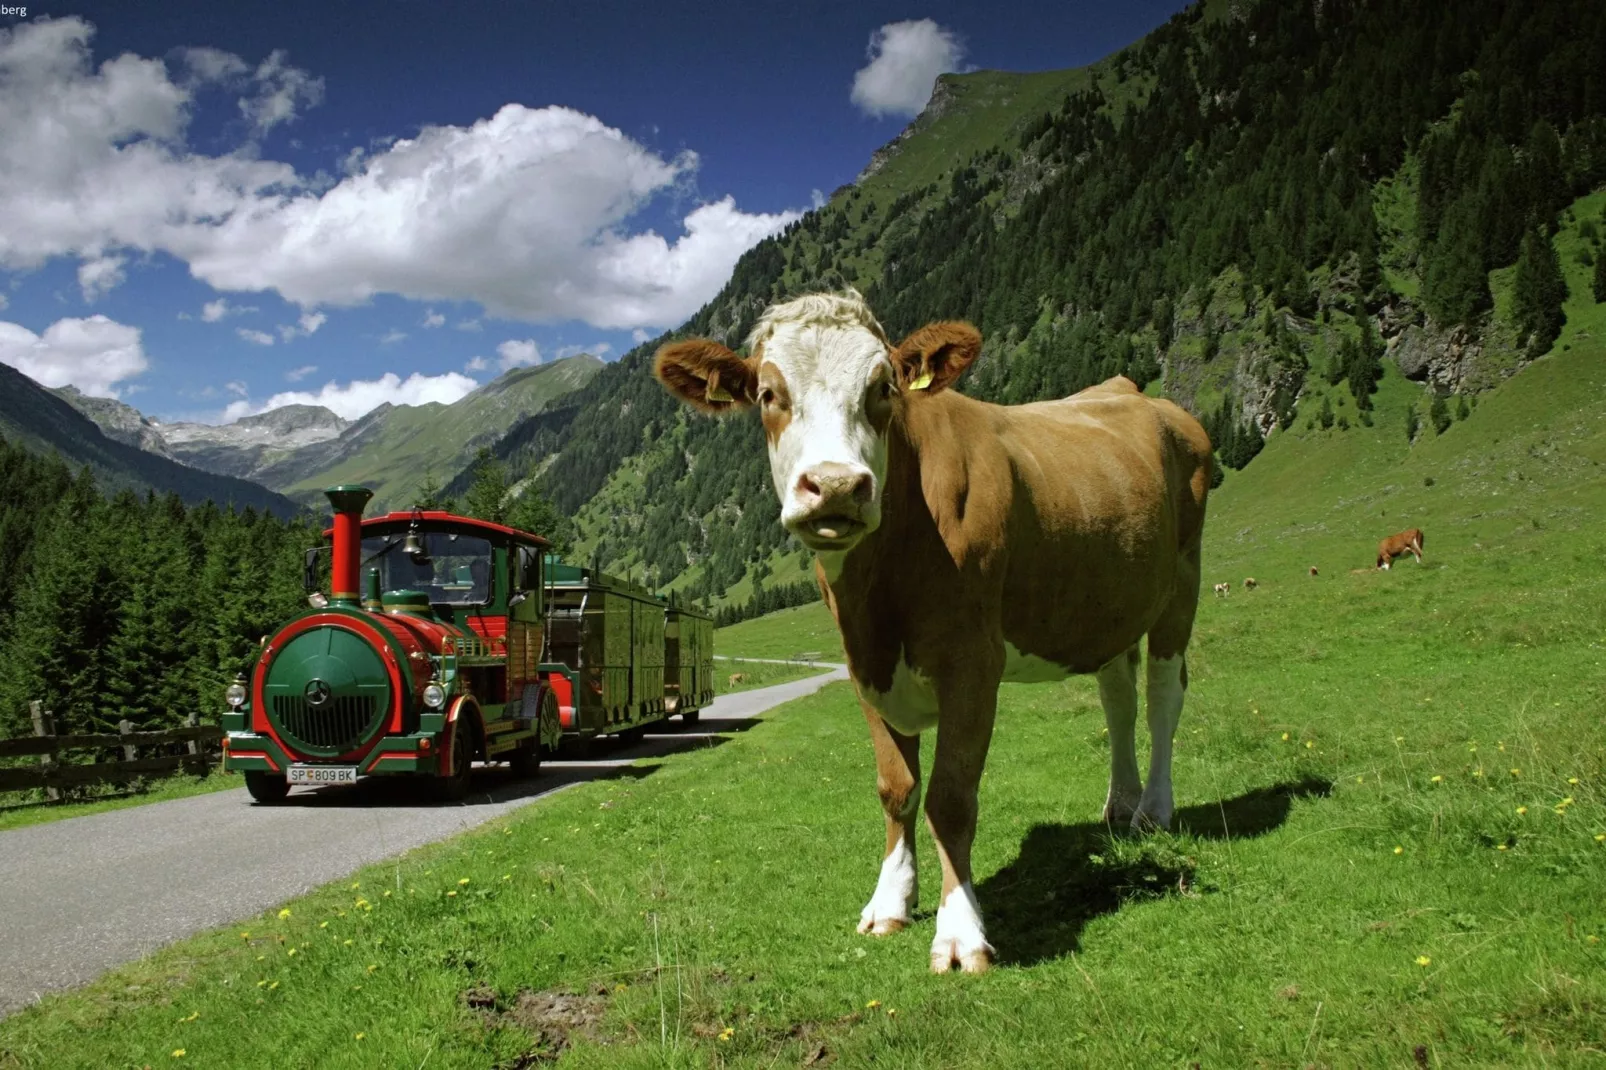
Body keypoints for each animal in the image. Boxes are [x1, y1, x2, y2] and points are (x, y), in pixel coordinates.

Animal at [648, 287, 1207, 970]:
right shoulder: (866, 664)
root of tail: (1137, 393)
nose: (836, 486)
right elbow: (897, 788)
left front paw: (961, 930)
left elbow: (951, 797)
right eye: (768, 394)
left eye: (883, 387)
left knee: (1162, 696)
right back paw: (1120, 804)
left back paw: (1154, 809)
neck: (882, 591)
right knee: (1118, 698)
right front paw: (889, 902)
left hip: (1182, 580)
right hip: (1110, 604)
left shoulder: (973, 663)